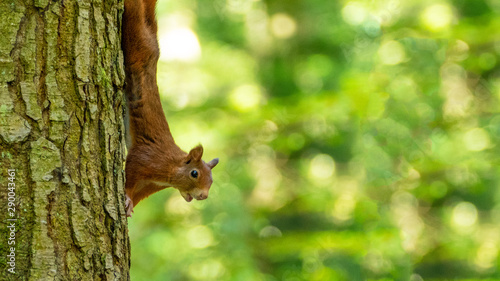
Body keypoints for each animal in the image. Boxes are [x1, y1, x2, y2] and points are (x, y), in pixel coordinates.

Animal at [122, 0, 218, 217]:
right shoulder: (145, 159)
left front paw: (131, 207)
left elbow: (137, 195)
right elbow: (129, 178)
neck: (171, 166)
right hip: (134, 37)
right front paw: (126, 199)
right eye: (194, 173)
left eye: (211, 180)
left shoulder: (149, 186)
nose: (203, 196)